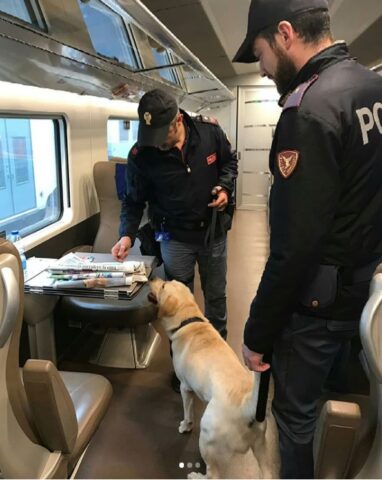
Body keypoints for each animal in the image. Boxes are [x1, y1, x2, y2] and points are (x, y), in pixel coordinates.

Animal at [149, 280, 272, 478]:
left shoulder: (185, 387)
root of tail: (247, 407)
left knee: (213, 474)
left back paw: (196, 476)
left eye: (163, 286)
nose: (151, 279)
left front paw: (185, 426)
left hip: (207, 436)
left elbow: (187, 412)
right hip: (261, 446)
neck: (188, 320)